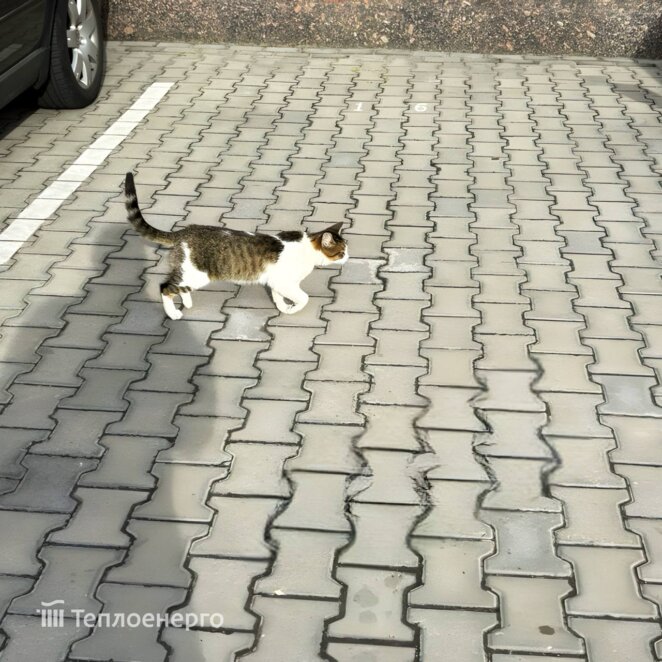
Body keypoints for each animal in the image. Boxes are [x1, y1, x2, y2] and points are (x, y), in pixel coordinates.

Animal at [123, 173, 349, 320]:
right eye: (341, 252)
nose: (348, 258)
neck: (307, 249)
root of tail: (185, 231)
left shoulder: (277, 282)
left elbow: (278, 296)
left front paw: (285, 308)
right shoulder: (285, 282)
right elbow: (303, 297)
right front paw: (293, 308)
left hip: (189, 274)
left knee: (178, 285)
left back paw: (186, 301)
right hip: (197, 274)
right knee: (165, 287)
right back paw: (173, 313)